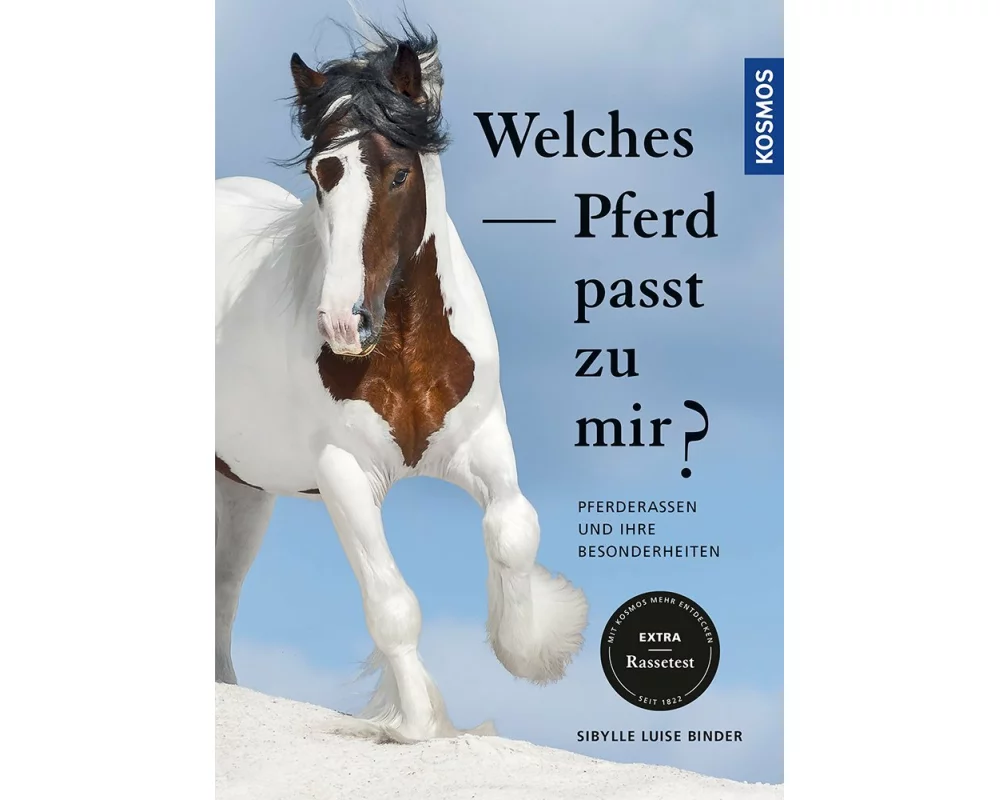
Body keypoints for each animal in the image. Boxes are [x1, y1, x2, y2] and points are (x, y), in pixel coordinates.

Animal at [215, 23, 588, 742]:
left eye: (398, 173)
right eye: (320, 174)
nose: (342, 322)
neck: (404, 351)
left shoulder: (484, 442)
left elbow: (514, 531)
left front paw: (534, 649)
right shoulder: (342, 474)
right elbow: (391, 604)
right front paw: (414, 724)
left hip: (242, 489)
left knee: (223, 587)